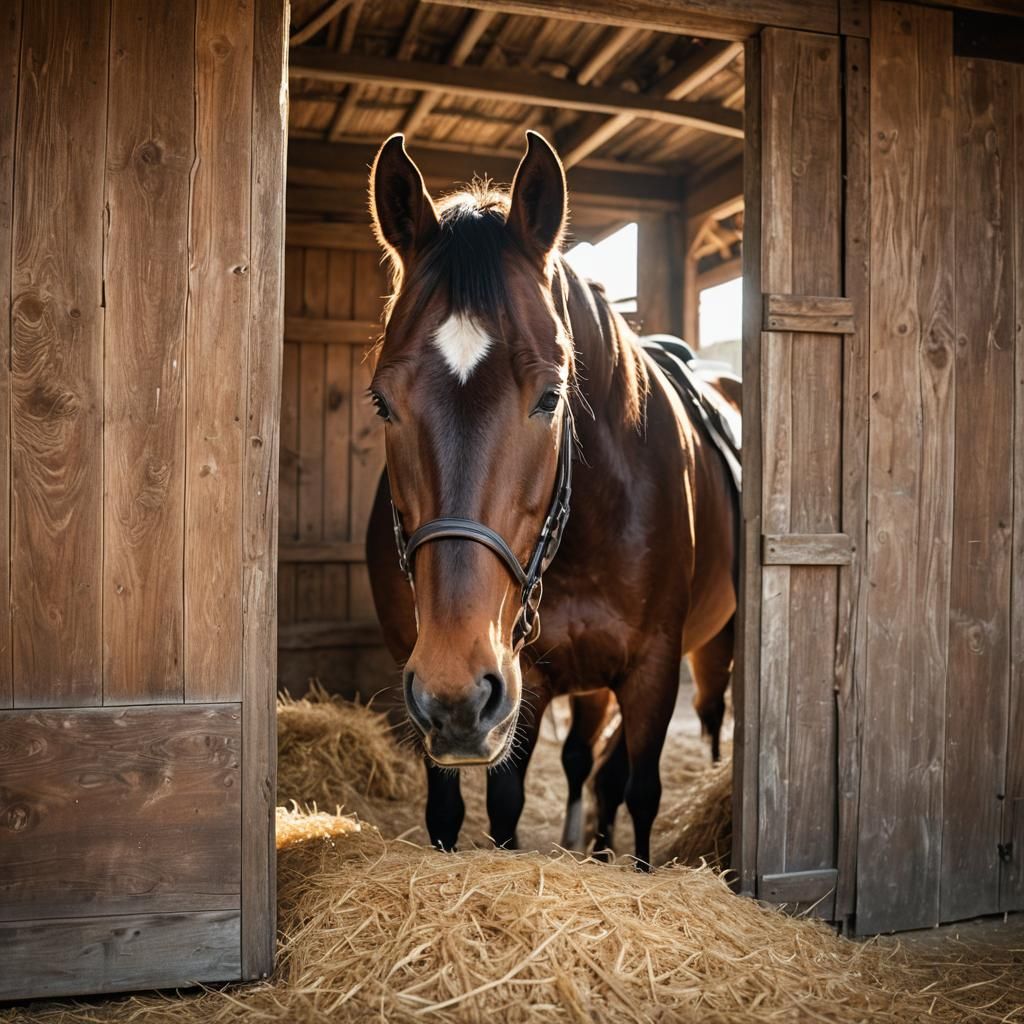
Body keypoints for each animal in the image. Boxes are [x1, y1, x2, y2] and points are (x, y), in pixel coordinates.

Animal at [364, 131, 739, 867]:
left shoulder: (652, 670)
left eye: (550, 396)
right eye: (382, 402)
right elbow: (498, 804)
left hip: (711, 650)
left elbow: (642, 791)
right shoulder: (521, 680)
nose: (454, 686)